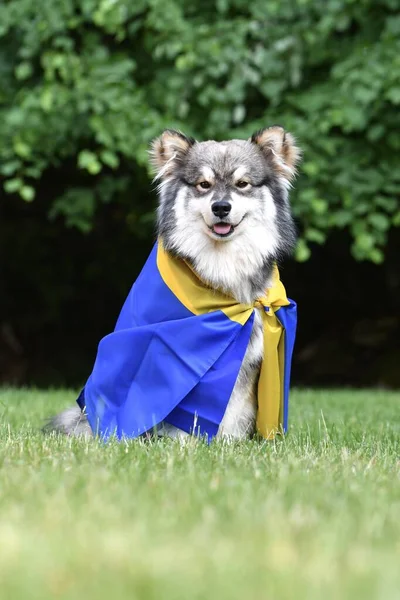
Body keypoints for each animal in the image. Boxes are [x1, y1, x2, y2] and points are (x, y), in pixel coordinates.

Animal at [45, 126, 300, 440]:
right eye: (203, 184)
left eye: (242, 184)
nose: (221, 207)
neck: (222, 266)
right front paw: (187, 444)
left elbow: (234, 409)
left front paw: (228, 442)